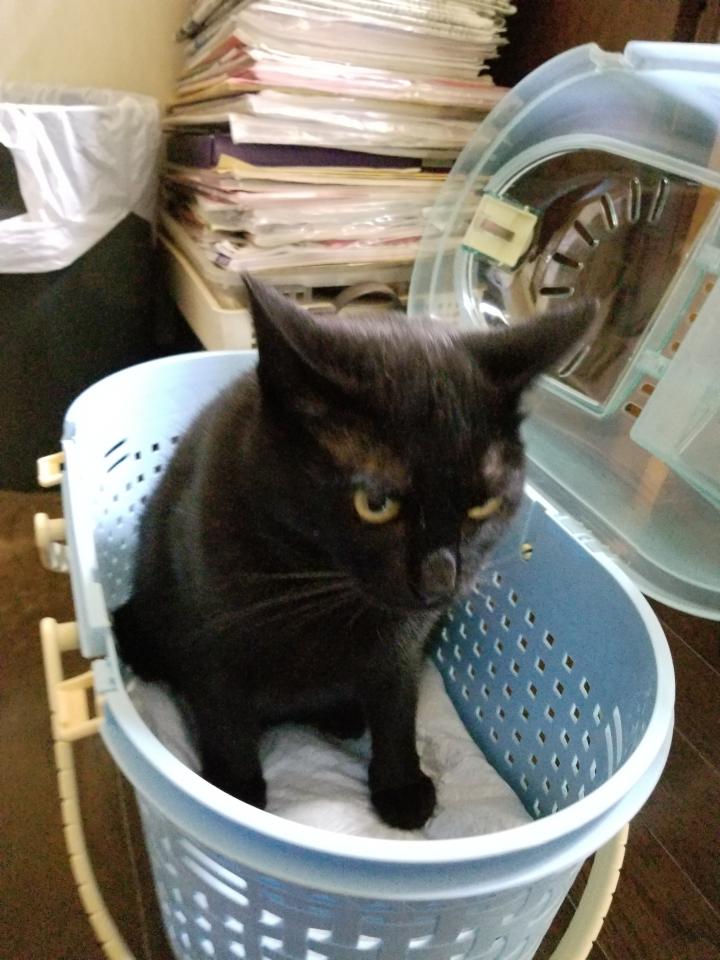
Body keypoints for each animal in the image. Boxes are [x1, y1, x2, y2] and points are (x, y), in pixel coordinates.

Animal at [113, 275, 593, 830]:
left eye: (483, 505)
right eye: (375, 504)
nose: (439, 581)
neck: (318, 588)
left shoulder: (403, 648)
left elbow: (397, 710)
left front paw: (400, 785)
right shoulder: (211, 644)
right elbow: (225, 721)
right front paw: (232, 797)